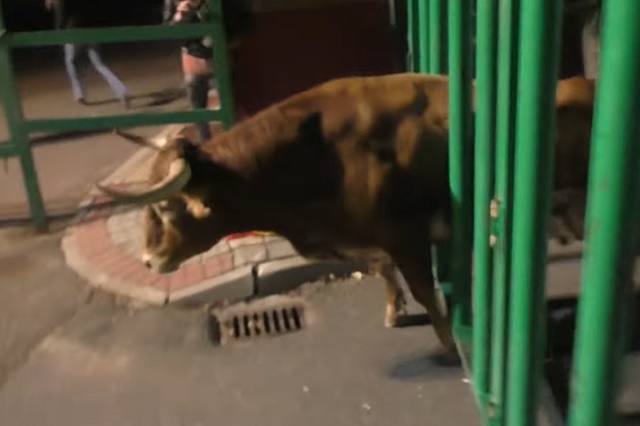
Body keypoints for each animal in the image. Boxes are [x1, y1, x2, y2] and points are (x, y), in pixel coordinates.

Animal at [97, 73, 596, 354]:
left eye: (165, 206)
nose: (149, 260)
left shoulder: (406, 235)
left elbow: (427, 296)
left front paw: (451, 349)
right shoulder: (364, 237)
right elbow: (380, 269)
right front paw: (393, 310)